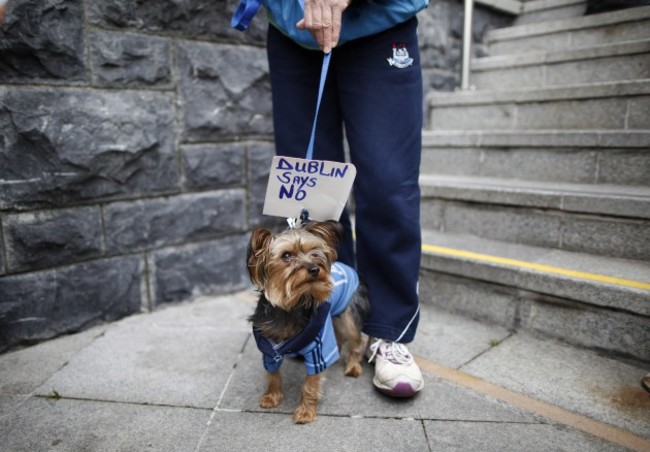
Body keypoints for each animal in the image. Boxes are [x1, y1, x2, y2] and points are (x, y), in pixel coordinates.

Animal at [244, 219, 368, 424]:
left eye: (314, 252)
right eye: (286, 255)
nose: (315, 269)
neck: (292, 305)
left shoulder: (316, 348)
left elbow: (310, 384)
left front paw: (305, 411)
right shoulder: (269, 348)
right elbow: (272, 375)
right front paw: (271, 396)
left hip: (348, 312)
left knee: (357, 339)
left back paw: (353, 366)